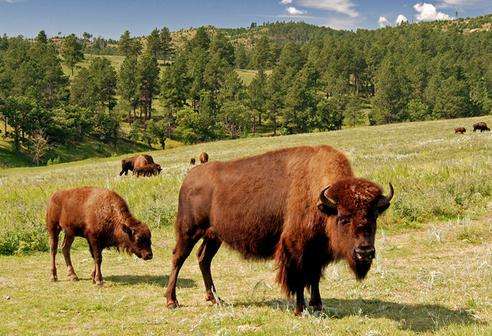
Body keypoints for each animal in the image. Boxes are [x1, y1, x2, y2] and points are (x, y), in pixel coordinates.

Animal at [167, 145, 394, 316]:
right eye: (344, 218)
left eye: (374, 216)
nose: (364, 252)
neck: (321, 201)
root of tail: (189, 179)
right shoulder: (296, 248)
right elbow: (299, 278)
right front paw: (300, 309)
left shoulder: (316, 251)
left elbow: (314, 277)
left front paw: (318, 305)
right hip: (189, 231)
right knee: (178, 257)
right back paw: (172, 301)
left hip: (213, 236)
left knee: (203, 259)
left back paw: (215, 299)